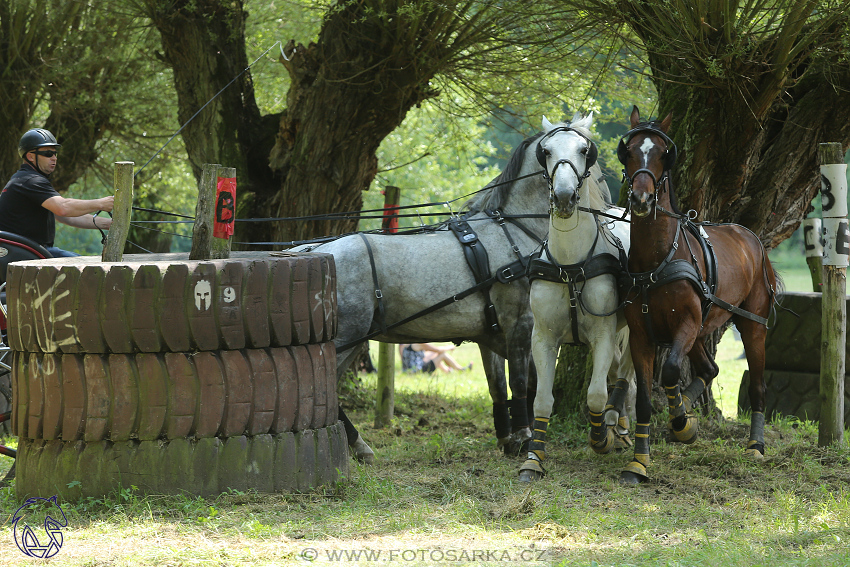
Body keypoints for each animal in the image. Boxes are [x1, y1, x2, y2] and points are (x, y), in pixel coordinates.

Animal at [616, 105, 776, 484]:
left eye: (664, 153)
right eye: (629, 152)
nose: (641, 199)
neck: (658, 258)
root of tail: (752, 240)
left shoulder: (685, 326)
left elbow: (672, 370)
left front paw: (682, 423)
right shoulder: (641, 334)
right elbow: (643, 398)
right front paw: (639, 462)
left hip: (751, 325)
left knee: (757, 385)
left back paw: (755, 445)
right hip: (704, 329)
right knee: (710, 368)